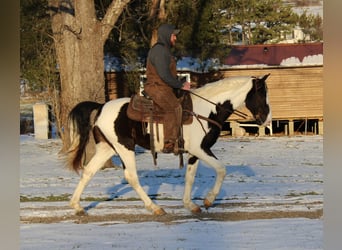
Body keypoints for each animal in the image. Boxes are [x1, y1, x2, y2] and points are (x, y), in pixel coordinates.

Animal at [65, 73, 272, 215]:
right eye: (261, 94)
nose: (267, 119)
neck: (207, 109)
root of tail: (100, 107)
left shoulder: (194, 153)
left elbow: (190, 177)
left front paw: (190, 204)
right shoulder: (201, 149)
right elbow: (221, 169)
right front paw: (208, 200)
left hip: (107, 148)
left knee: (88, 171)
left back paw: (77, 206)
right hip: (125, 147)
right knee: (131, 176)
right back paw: (154, 207)